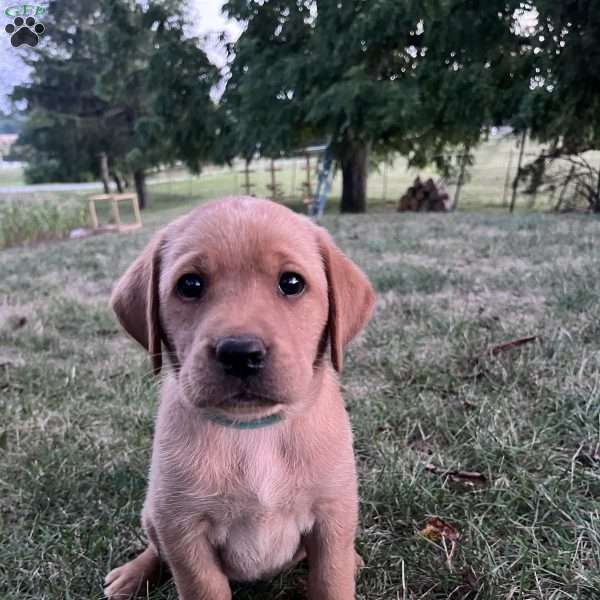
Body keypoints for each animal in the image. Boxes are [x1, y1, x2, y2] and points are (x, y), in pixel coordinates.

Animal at [103, 198, 376, 600]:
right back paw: (133, 574)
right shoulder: (184, 530)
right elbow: (204, 588)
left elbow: (331, 580)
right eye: (190, 284)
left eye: (291, 282)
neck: (252, 430)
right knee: (155, 548)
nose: (240, 353)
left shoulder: (332, 516)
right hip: (154, 511)